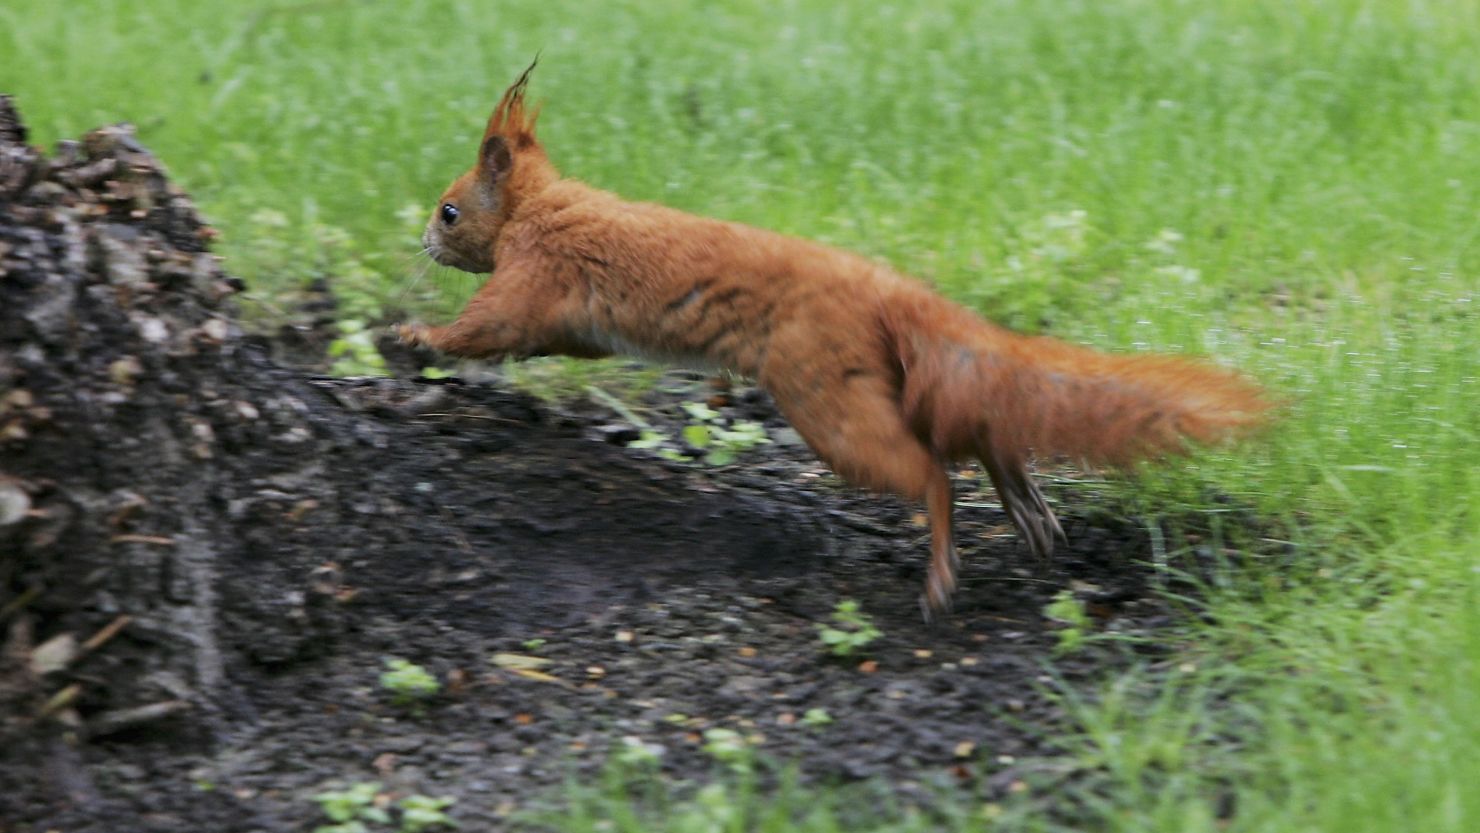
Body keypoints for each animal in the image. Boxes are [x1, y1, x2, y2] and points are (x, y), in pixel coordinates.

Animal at [396, 61, 1272, 615]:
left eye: (449, 209)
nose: (425, 242)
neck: (542, 209)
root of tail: (890, 293)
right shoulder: (577, 321)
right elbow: (542, 347)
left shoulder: (535, 278)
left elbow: (485, 328)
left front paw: (415, 334)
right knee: (980, 433)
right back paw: (1027, 509)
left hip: (823, 396)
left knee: (933, 470)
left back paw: (944, 570)